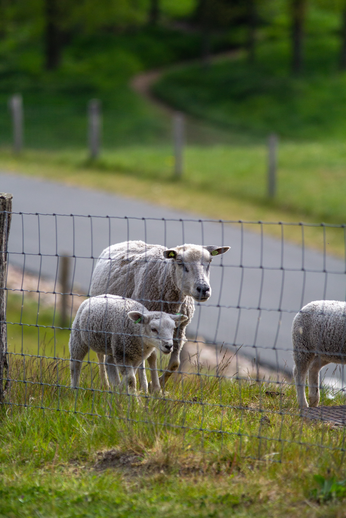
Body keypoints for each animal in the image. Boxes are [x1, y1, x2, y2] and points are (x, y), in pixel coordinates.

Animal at [89, 240, 230, 390]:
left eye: (210, 261)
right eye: (180, 262)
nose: (203, 289)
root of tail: (126, 241)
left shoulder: (179, 328)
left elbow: (175, 363)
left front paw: (158, 386)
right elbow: (152, 358)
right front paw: (153, 387)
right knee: (100, 354)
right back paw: (107, 384)